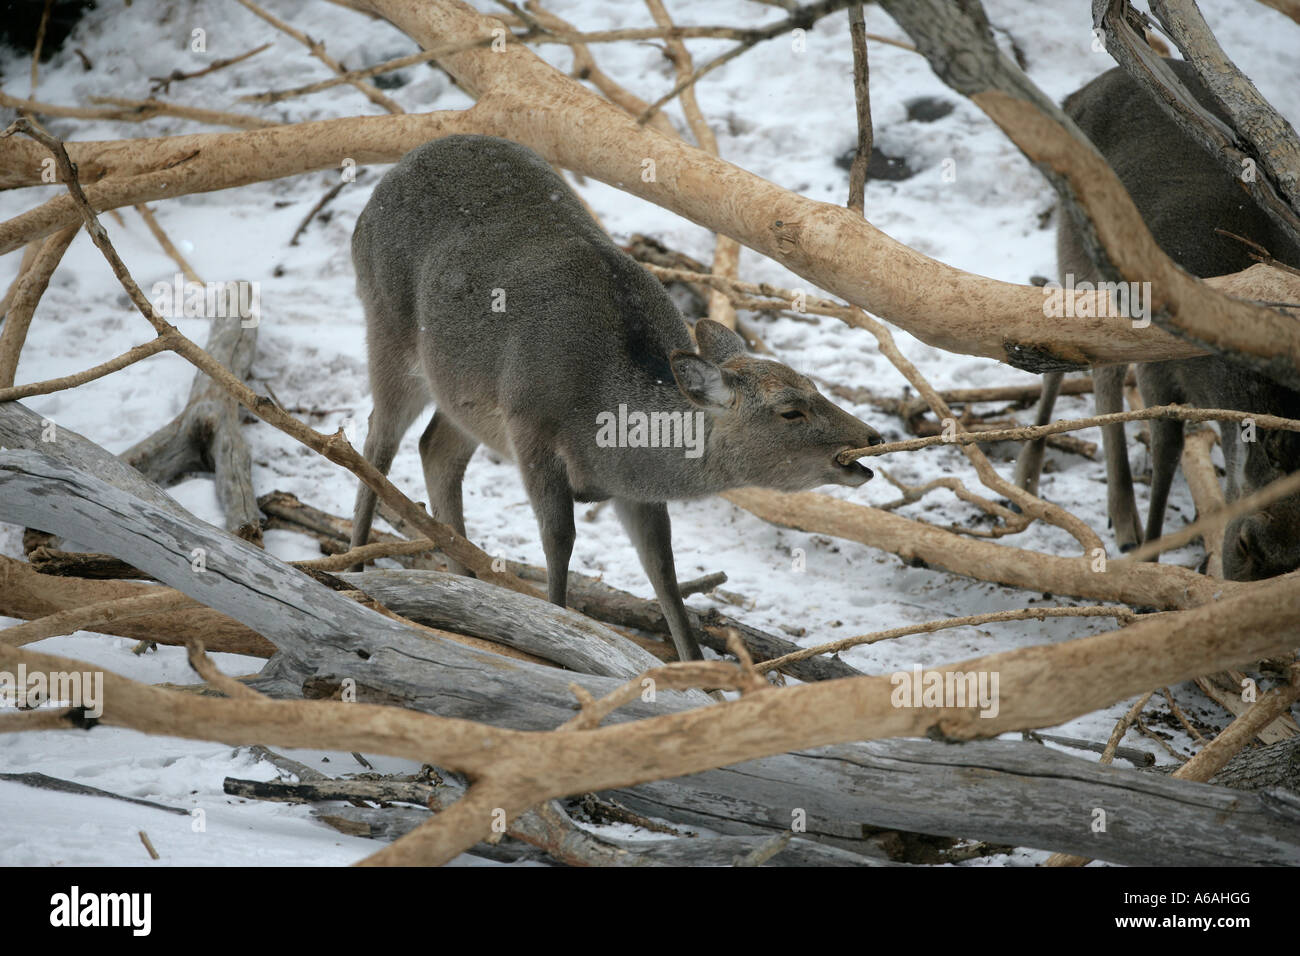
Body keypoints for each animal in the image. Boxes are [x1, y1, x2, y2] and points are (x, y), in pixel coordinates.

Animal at [351, 132, 889, 658]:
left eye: (814, 384)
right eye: (790, 411)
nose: (872, 437)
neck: (603, 430)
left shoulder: (634, 490)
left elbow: (664, 572)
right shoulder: (529, 425)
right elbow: (560, 540)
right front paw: (556, 634)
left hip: (462, 394)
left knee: (435, 447)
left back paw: (463, 588)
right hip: (387, 326)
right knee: (378, 442)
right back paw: (353, 571)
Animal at [1013, 65, 1300, 582]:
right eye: (1244, 542)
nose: (1246, 581)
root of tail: (1078, 93)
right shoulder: (1157, 353)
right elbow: (1166, 447)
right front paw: (1150, 552)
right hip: (1076, 241)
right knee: (1080, 355)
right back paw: (1046, 485)